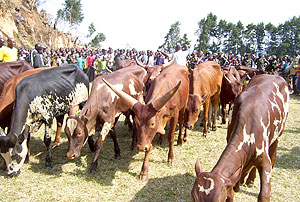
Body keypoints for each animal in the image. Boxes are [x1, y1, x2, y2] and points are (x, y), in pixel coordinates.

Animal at [191, 74, 290, 202]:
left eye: (218, 201)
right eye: (193, 197)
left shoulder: (264, 160)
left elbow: (264, 194)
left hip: (278, 135)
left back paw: (250, 180)